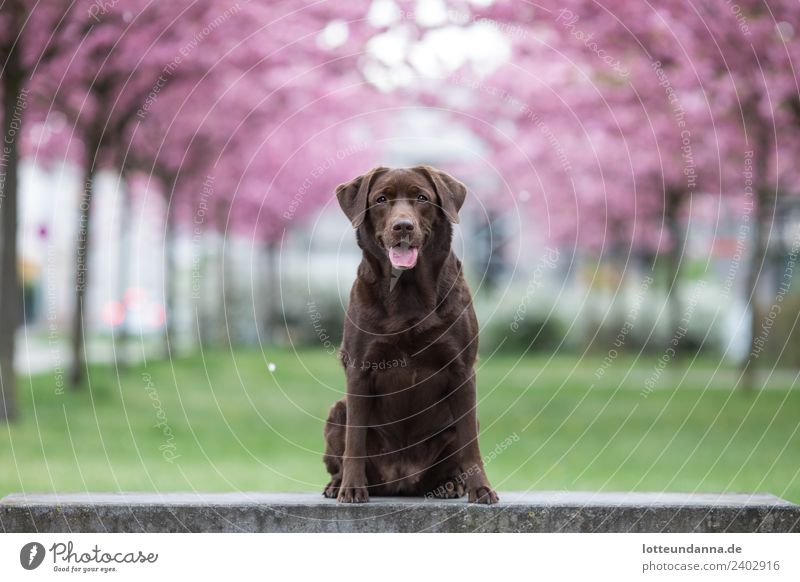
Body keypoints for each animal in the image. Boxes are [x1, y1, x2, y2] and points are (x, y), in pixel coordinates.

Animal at [322, 167, 496, 504]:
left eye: (422, 198)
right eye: (381, 199)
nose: (403, 226)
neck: (407, 292)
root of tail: (400, 482)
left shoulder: (462, 370)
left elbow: (471, 444)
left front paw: (481, 488)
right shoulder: (360, 369)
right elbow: (355, 440)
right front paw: (351, 488)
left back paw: (450, 486)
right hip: (338, 411)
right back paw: (336, 484)